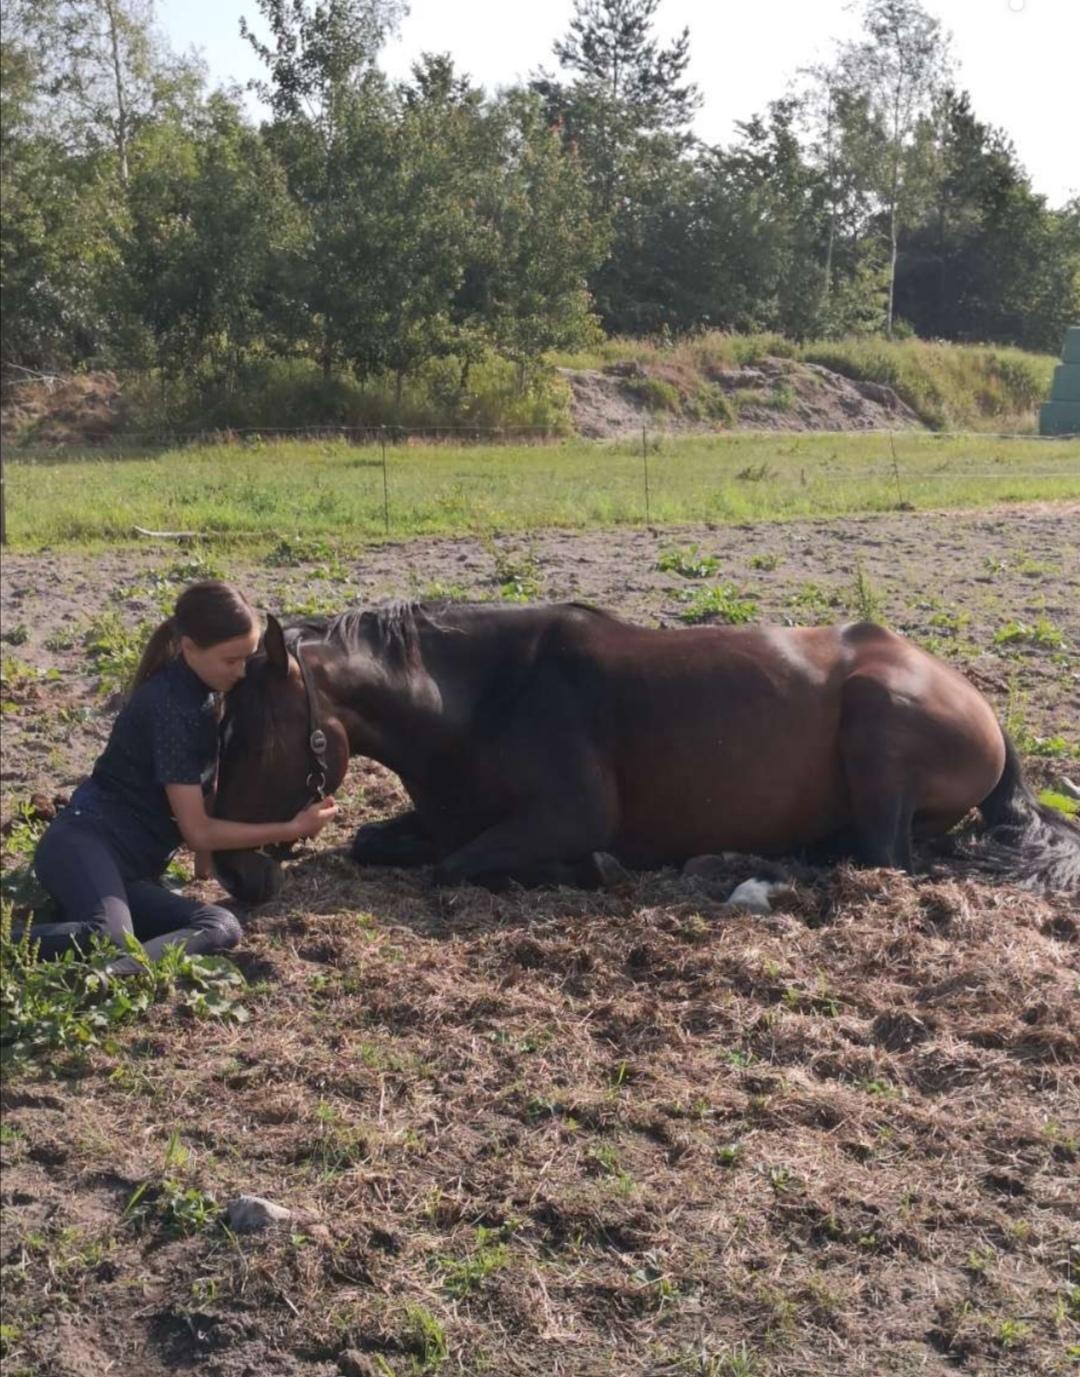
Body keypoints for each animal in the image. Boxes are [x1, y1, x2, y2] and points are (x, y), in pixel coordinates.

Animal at [210, 594, 1080, 897]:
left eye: (251, 738)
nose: (230, 871)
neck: (484, 701)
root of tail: (977, 699)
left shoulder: (567, 817)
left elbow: (457, 867)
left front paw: (590, 869)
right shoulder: (444, 818)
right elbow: (379, 843)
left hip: (876, 719)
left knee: (886, 858)